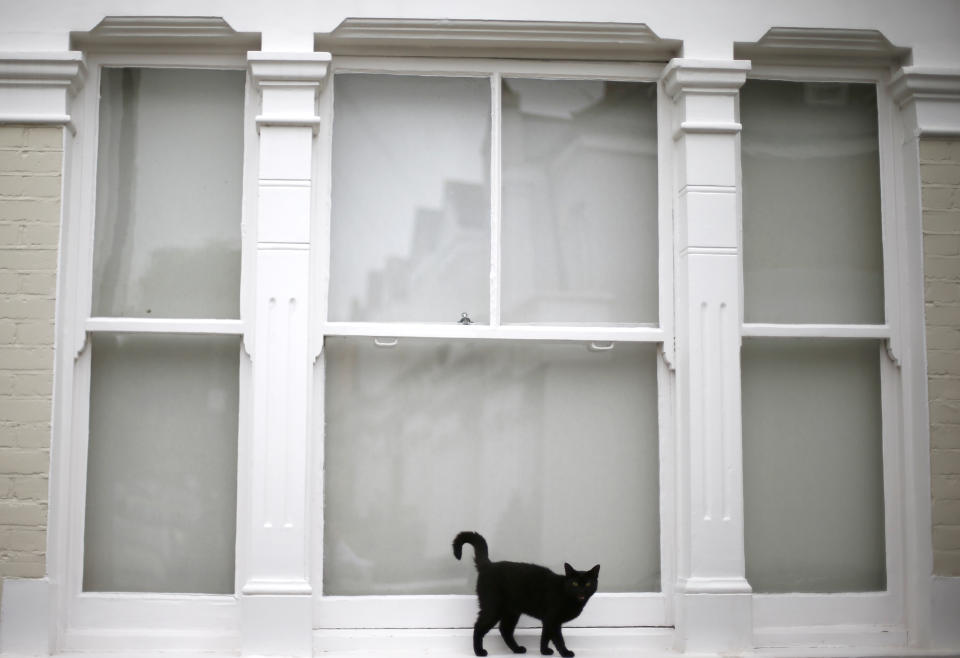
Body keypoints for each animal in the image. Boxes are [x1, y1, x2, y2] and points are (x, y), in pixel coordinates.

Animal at [452, 532, 600, 652]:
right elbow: (558, 639)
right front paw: (565, 653)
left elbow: (545, 636)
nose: (582, 590)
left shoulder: (548, 621)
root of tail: (488, 565)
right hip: (493, 608)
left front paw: (544, 651)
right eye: (574, 583)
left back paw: (517, 649)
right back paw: (479, 652)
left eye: (588, 583)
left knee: (505, 630)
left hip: (511, 612)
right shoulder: (553, 620)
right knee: (478, 627)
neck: (566, 594)